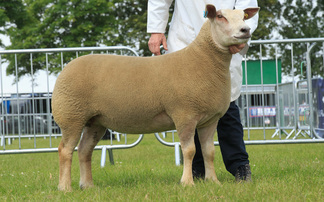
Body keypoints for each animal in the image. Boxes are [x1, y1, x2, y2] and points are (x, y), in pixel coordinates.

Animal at [52, 4, 260, 191]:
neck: (202, 60)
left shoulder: (209, 120)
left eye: (243, 16)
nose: (245, 30)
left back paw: (87, 185)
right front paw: (187, 183)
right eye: (220, 16)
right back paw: (65, 187)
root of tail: (67, 67)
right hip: (71, 115)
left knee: (84, 150)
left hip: (95, 121)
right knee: (65, 150)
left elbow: (209, 152)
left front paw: (213, 182)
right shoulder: (184, 114)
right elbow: (190, 150)